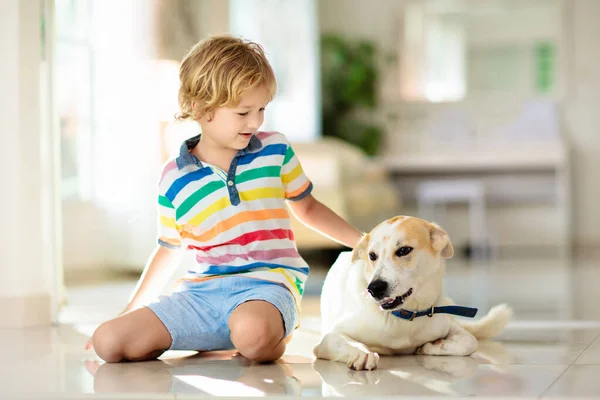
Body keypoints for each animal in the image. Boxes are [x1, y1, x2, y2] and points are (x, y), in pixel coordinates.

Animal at [312, 217, 512, 370]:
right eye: (372, 256)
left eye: (403, 250)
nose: (374, 288)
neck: (404, 316)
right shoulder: (327, 338)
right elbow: (345, 340)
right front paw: (363, 352)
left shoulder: (445, 322)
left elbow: (470, 342)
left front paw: (433, 346)